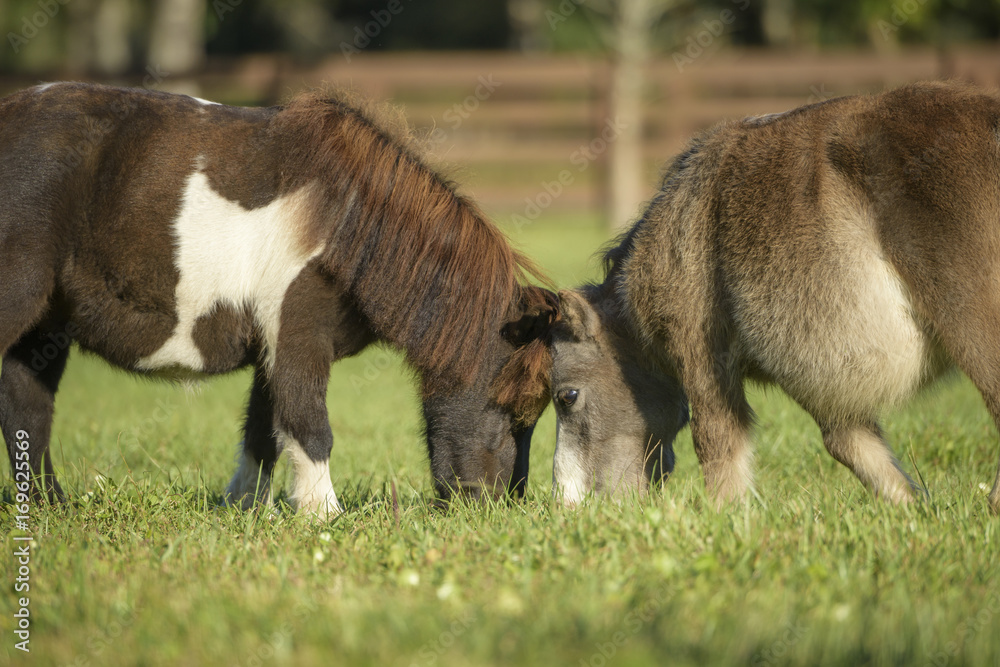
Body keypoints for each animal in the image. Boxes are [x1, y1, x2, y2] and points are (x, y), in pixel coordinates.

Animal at [0, 82, 556, 517]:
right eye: (513, 410)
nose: (494, 507)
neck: (344, 219)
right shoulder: (296, 335)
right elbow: (309, 424)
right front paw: (324, 515)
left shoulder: (270, 345)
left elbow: (262, 431)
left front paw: (246, 508)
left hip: (42, 331)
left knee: (27, 411)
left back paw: (50, 509)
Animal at [549, 81, 1000, 513]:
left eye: (566, 397)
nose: (565, 506)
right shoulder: (817, 372)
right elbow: (849, 443)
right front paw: (910, 508)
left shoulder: (700, 354)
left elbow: (716, 443)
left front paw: (725, 516)